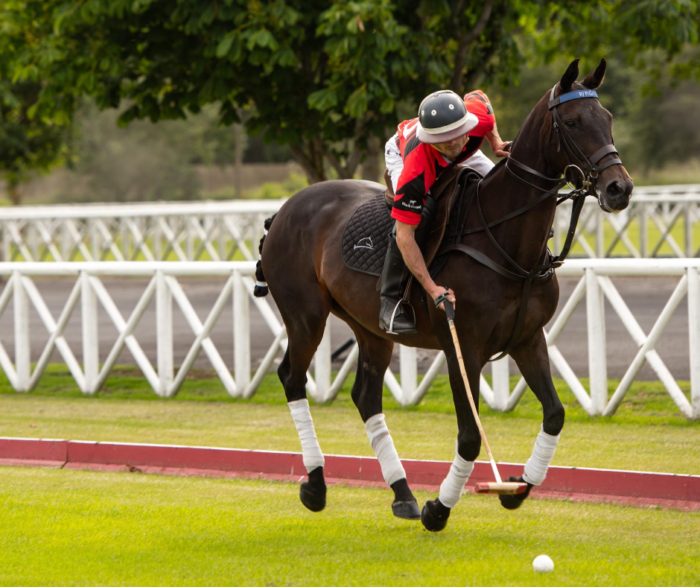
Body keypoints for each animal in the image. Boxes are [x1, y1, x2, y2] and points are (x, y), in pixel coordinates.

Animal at [256, 58, 633, 532]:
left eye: (608, 118)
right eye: (571, 122)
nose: (619, 188)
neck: (506, 242)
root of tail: (282, 211)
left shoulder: (529, 340)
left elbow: (554, 414)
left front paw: (517, 487)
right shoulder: (462, 347)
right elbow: (470, 436)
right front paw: (439, 509)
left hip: (370, 328)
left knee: (365, 396)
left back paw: (402, 494)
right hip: (305, 314)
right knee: (292, 377)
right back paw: (316, 485)